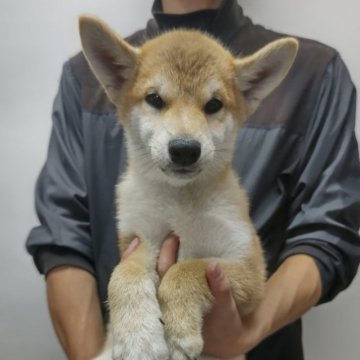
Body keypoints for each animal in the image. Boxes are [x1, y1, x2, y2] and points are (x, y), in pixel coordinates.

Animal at [79, 14, 298, 360]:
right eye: (155, 99)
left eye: (214, 104)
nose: (184, 149)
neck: (178, 203)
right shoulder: (140, 241)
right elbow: (122, 275)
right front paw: (137, 337)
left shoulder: (248, 268)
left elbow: (187, 269)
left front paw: (180, 330)